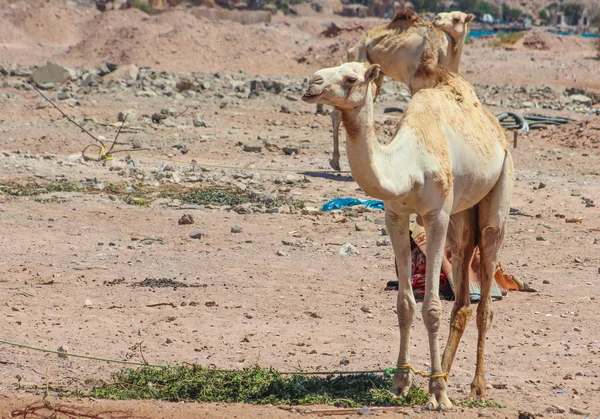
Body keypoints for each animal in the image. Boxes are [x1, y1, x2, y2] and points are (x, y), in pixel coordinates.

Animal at [304, 54, 516, 408]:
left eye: (350, 78)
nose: (312, 83)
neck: (408, 166)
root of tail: (495, 129)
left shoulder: (436, 215)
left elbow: (431, 307)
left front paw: (438, 396)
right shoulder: (395, 215)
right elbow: (405, 304)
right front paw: (401, 383)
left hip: (498, 192)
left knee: (485, 291)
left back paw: (476, 387)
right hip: (462, 215)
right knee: (462, 287)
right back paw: (442, 374)